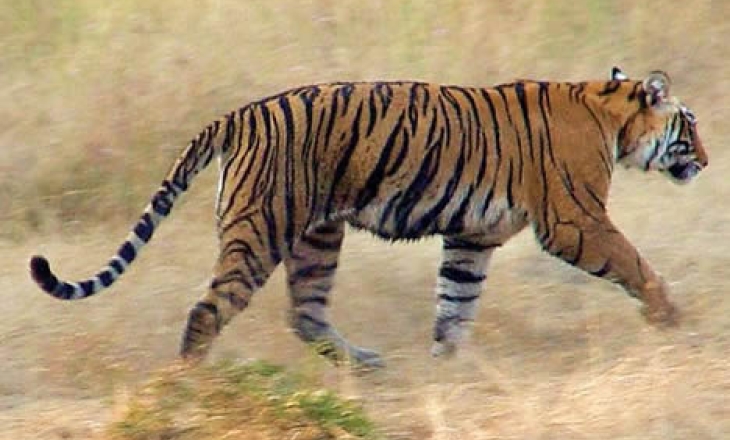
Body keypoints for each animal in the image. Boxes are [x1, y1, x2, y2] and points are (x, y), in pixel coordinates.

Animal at [30, 67, 708, 368]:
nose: (704, 159)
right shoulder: (576, 222)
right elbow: (636, 265)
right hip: (261, 231)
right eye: (690, 125)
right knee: (207, 310)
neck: (611, 115)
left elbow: (456, 303)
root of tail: (238, 114)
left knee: (305, 315)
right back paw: (189, 381)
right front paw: (674, 320)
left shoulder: (471, 235)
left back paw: (369, 365)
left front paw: (446, 370)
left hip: (315, 236)